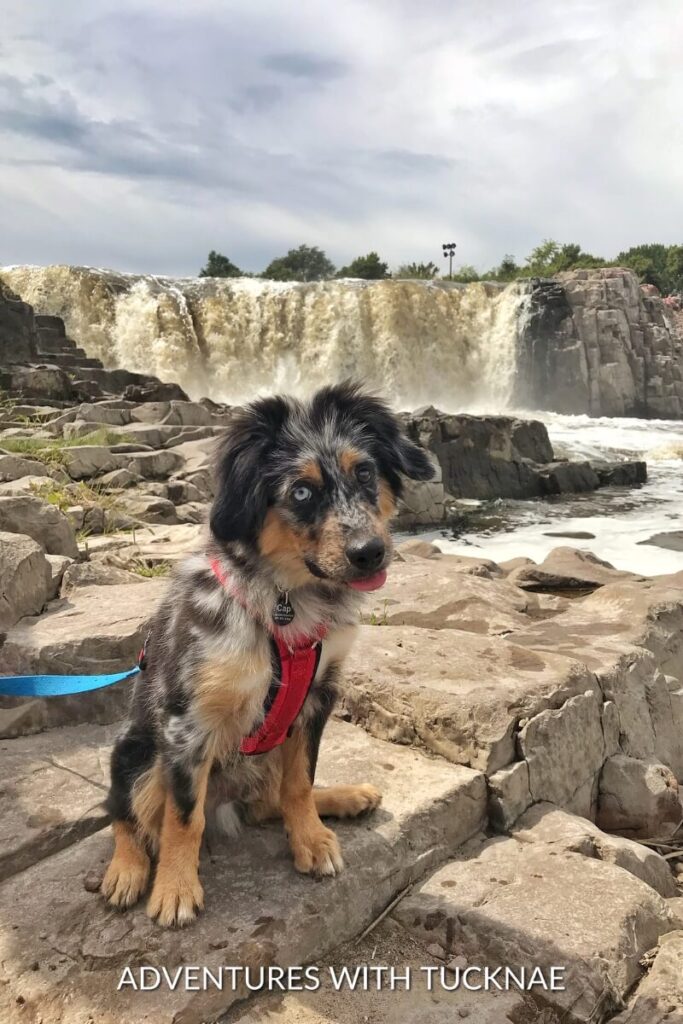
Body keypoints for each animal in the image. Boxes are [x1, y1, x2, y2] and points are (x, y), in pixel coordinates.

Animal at [99, 382, 436, 929]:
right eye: (300, 491)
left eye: (365, 472)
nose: (371, 553)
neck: (286, 601)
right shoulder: (187, 723)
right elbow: (182, 817)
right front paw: (175, 887)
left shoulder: (317, 697)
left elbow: (299, 783)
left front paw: (311, 839)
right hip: (136, 753)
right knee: (127, 813)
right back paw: (126, 869)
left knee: (270, 800)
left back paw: (343, 798)